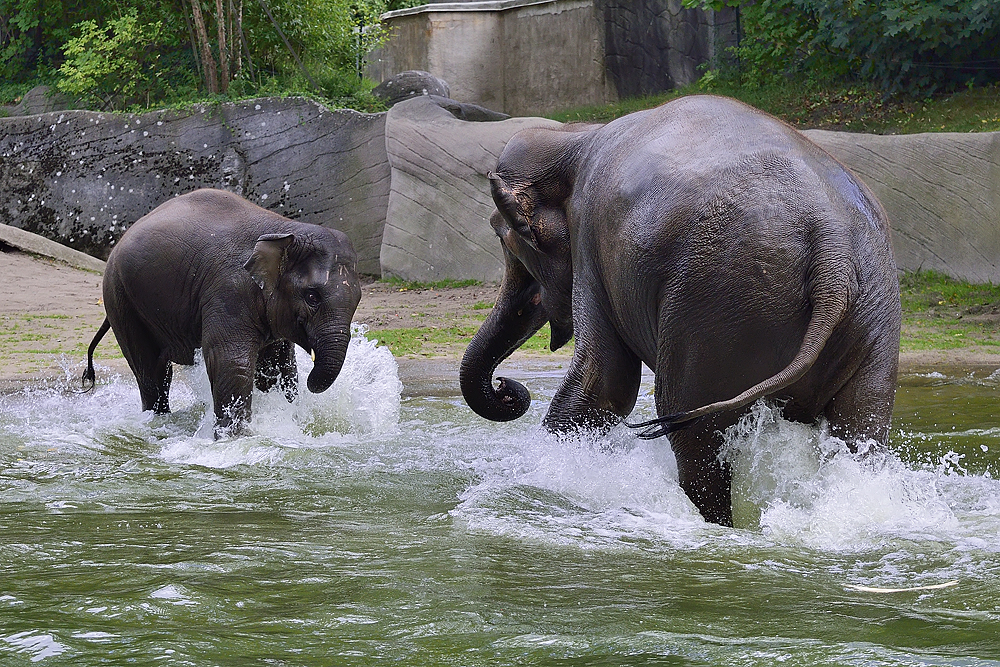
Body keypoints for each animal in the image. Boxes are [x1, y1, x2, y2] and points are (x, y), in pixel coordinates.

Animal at [83, 189, 364, 438]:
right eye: (312, 297)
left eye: (358, 300)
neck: (285, 230)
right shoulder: (229, 291)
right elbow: (231, 363)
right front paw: (234, 438)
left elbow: (277, 366)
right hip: (120, 298)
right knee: (152, 372)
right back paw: (157, 422)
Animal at [460, 96, 900, 528]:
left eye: (503, 237)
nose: (506, 386)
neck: (573, 138)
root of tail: (832, 248)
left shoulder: (590, 241)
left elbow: (604, 383)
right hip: (873, 313)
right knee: (861, 432)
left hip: (717, 305)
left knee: (692, 435)